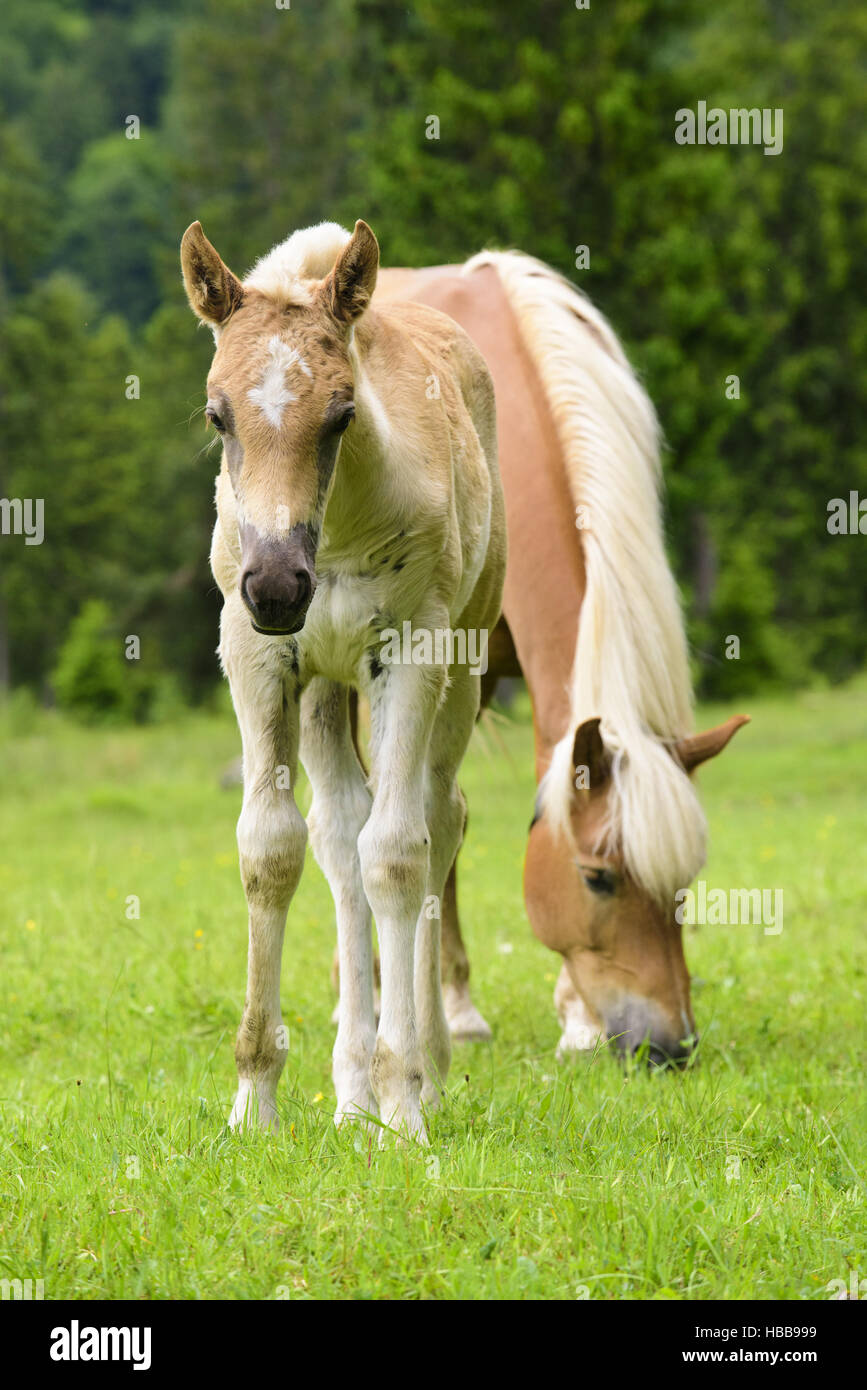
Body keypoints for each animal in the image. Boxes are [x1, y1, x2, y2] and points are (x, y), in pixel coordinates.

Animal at [180, 218, 506, 1141]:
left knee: (436, 818)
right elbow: (271, 848)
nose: (275, 584)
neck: (339, 531)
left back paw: (421, 1070)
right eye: (217, 416)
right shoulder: (255, 657)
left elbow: (396, 854)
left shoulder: (411, 651)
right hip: (327, 687)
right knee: (338, 829)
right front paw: (254, 1100)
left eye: (341, 415)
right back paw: (350, 1094)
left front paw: (405, 1108)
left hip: (462, 665)